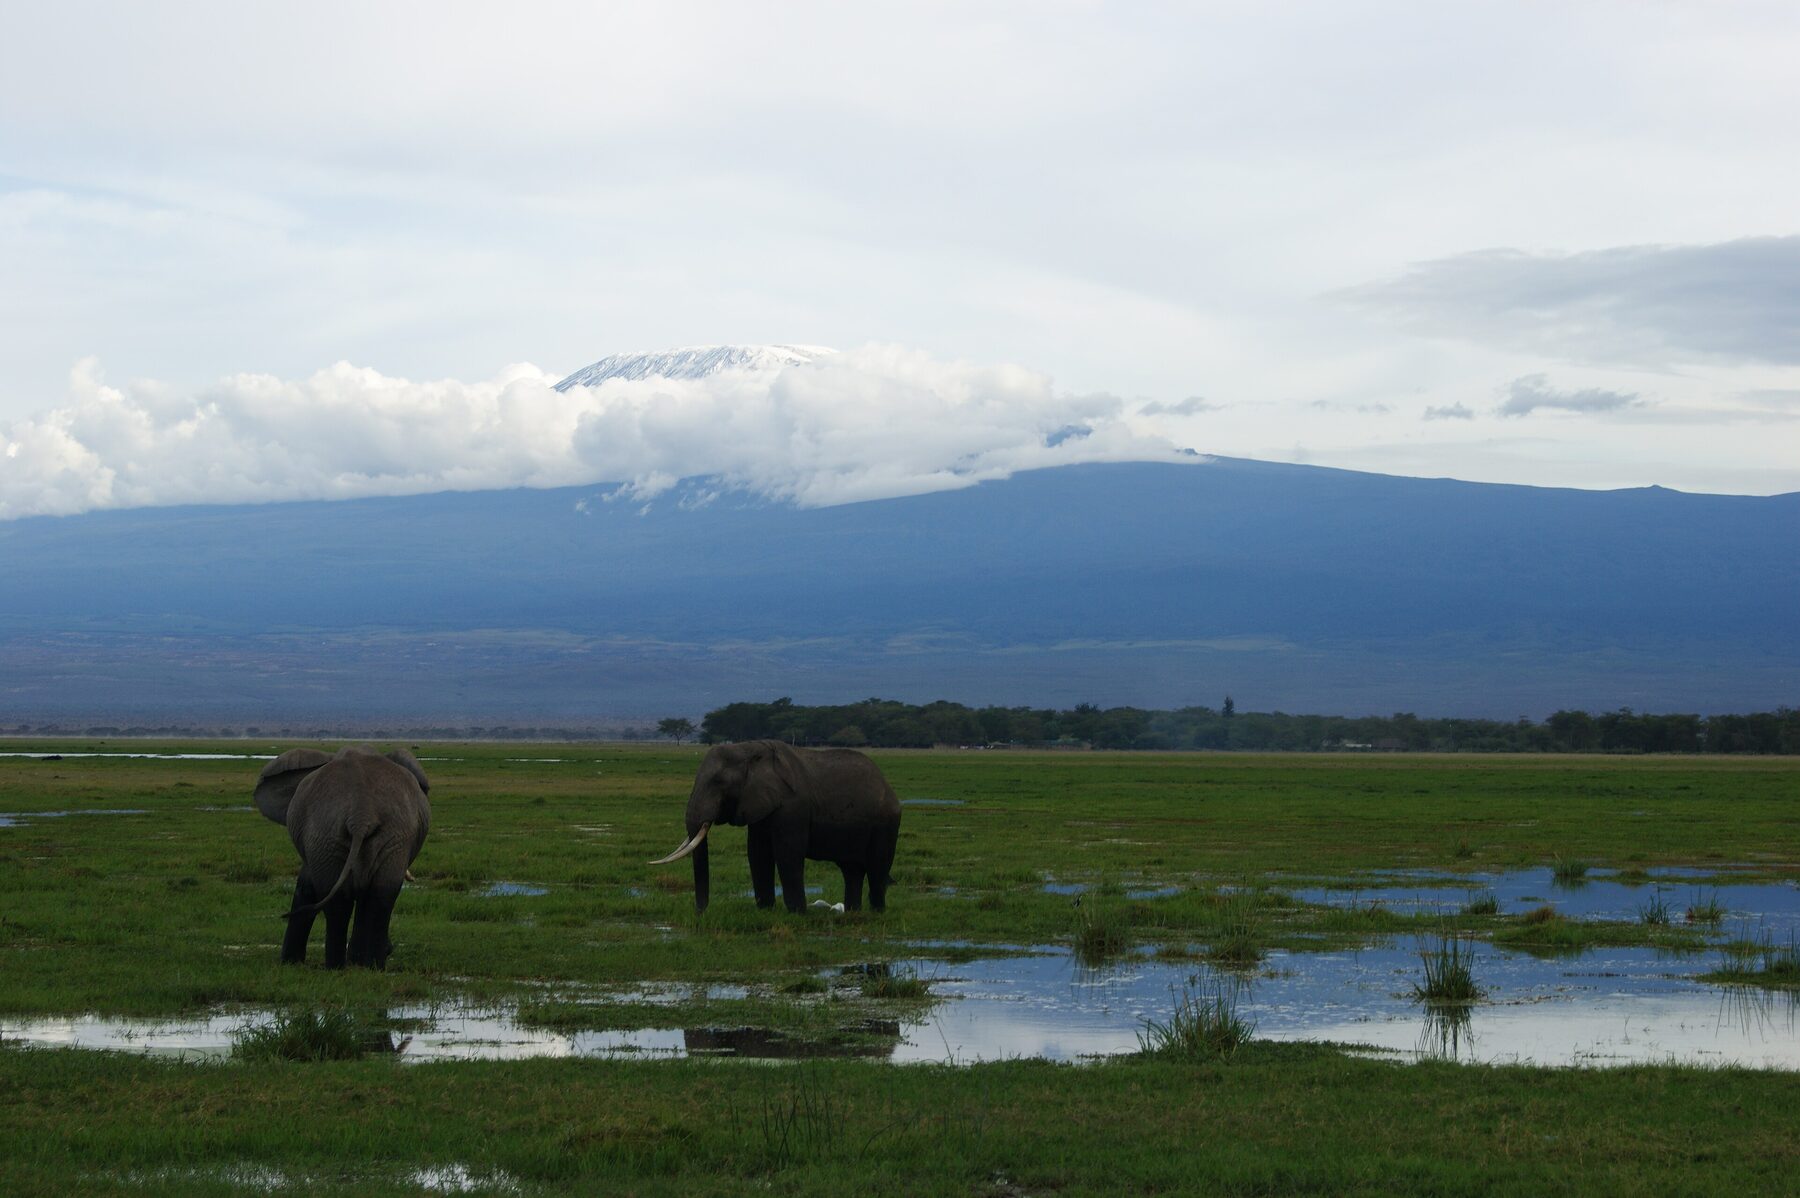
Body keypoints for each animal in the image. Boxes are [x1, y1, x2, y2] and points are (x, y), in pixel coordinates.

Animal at [254, 745, 431, 969]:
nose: (391, 948)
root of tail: (361, 813)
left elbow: (307, 887)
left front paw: (290, 962)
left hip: (341, 835)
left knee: (350, 900)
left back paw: (341, 967)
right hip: (369, 836)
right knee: (378, 896)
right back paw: (367, 967)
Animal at [651, 740, 901, 915]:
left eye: (719, 782)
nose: (700, 913)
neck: (749, 749)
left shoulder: (793, 806)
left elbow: (787, 853)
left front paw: (798, 914)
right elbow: (757, 853)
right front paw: (765, 910)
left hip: (886, 823)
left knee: (877, 868)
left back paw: (877, 913)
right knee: (852, 870)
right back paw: (852, 913)